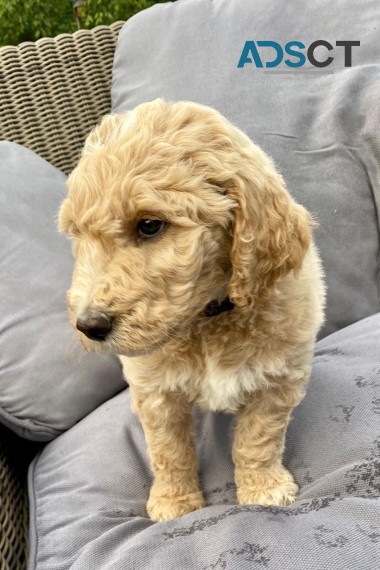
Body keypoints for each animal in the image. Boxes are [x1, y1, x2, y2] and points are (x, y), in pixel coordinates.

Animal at [58, 98, 326, 520]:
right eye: (78, 236)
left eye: (149, 225)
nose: (89, 325)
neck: (207, 318)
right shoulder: (154, 390)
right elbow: (168, 449)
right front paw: (176, 501)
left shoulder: (278, 380)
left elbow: (258, 439)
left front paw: (262, 488)